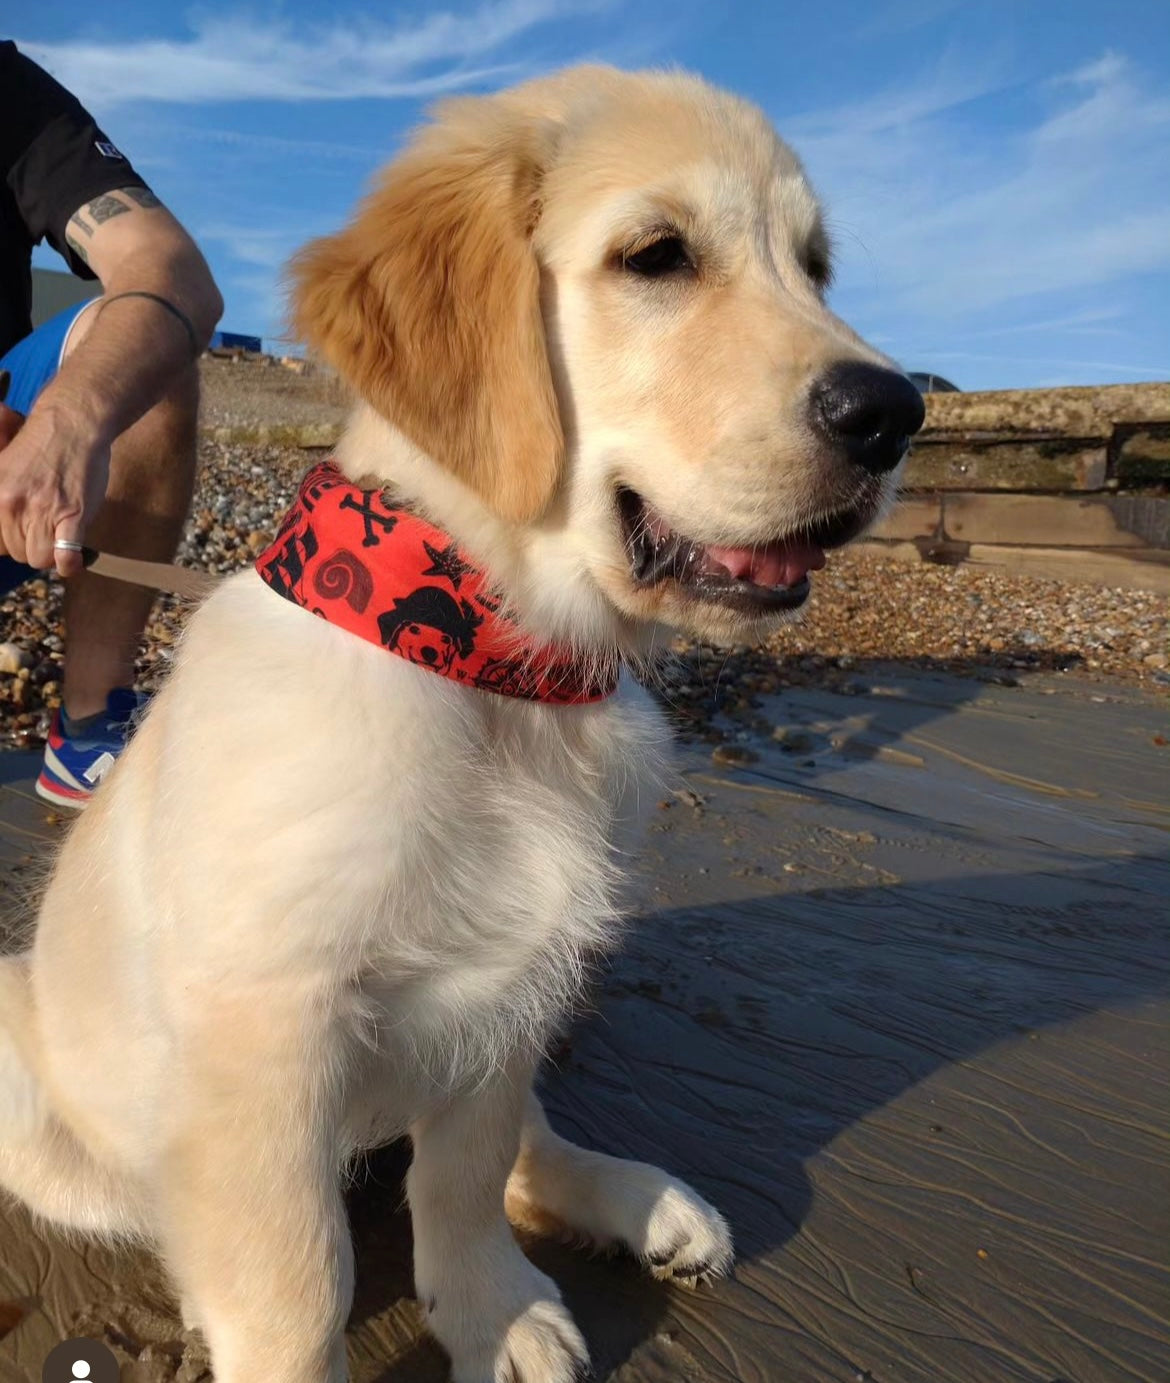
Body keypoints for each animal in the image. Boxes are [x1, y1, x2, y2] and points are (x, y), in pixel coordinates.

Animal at [0, 65, 918, 1383]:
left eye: (815, 266)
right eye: (656, 256)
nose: (896, 414)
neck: (494, 678)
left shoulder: (511, 983)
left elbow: (470, 1175)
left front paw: (491, 1310)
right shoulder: (267, 1023)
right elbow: (296, 1282)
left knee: (519, 1145)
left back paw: (643, 1205)